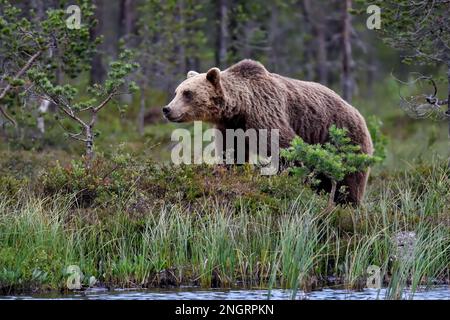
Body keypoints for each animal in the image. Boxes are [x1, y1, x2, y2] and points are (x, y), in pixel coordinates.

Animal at [163, 59, 374, 205]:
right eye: (176, 91)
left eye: (187, 93)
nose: (167, 109)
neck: (240, 108)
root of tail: (358, 112)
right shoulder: (230, 127)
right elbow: (231, 153)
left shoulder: (265, 112)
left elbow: (285, 148)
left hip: (345, 139)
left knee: (350, 179)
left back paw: (347, 204)